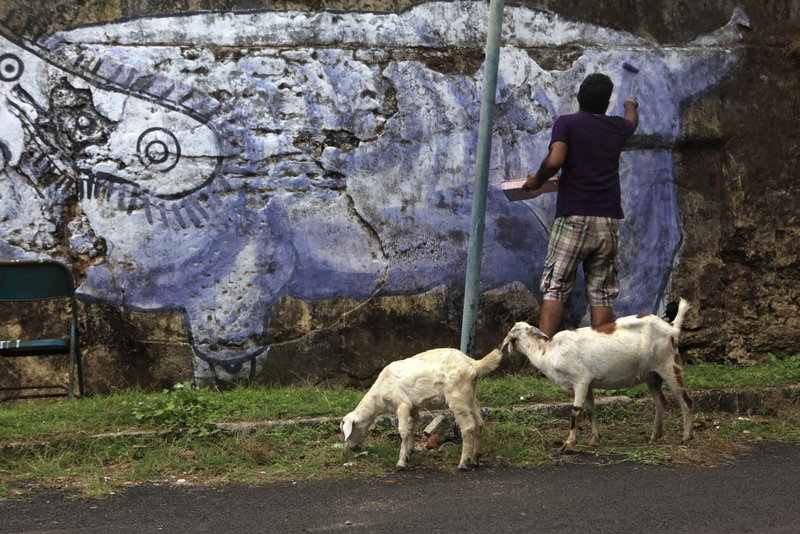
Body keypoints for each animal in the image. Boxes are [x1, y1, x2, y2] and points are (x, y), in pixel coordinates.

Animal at [340, 350, 504, 472]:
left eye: (346, 431)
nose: (352, 449)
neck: (379, 396)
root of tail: (473, 364)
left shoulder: (402, 404)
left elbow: (403, 430)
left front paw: (401, 463)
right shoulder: (413, 407)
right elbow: (412, 426)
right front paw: (409, 452)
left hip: (458, 398)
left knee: (468, 427)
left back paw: (463, 463)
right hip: (469, 397)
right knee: (479, 423)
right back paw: (476, 459)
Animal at [504, 300, 692, 450]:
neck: (548, 351)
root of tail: (672, 327)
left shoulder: (580, 380)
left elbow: (576, 411)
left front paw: (569, 443)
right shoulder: (589, 385)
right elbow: (591, 411)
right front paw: (595, 439)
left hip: (669, 365)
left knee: (685, 401)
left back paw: (685, 437)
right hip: (652, 376)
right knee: (661, 403)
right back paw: (654, 438)